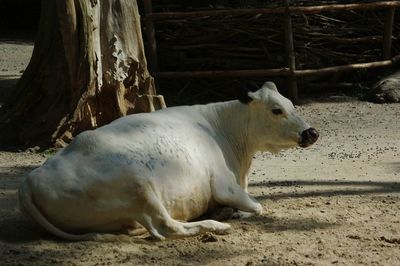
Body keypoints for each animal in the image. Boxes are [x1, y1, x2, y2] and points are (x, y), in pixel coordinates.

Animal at [18, 81, 318, 241]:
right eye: (276, 110)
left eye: (291, 104)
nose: (311, 132)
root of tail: (30, 180)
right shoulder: (224, 185)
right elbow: (257, 207)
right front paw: (232, 213)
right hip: (139, 185)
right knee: (167, 227)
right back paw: (217, 225)